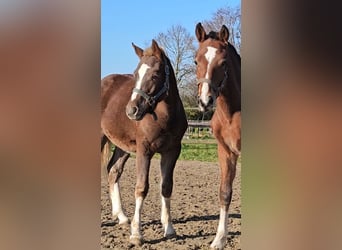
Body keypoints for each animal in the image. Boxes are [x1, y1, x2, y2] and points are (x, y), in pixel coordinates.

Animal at [101, 40, 187, 245]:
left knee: (113, 171)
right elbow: (141, 188)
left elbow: (166, 186)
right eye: (135, 74)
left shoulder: (172, 151)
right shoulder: (144, 150)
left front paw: (169, 229)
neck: (164, 117)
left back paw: (122, 217)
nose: (131, 110)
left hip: (122, 146)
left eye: (155, 74)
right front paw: (136, 234)